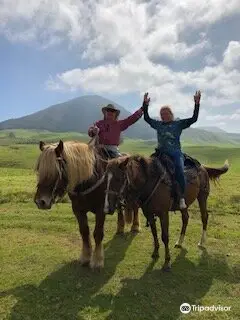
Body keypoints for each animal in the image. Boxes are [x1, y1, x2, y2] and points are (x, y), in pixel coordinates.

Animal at [32, 138, 140, 270]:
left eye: (56, 171)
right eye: (39, 170)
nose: (40, 201)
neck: (89, 180)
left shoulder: (101, 210)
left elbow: (98, 233)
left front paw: (97, 260)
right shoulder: (78, 210)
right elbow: (84, 231)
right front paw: (85, 257)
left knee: (135, 208)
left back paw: (135, 226)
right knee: (120, 209)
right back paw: (120, 228)